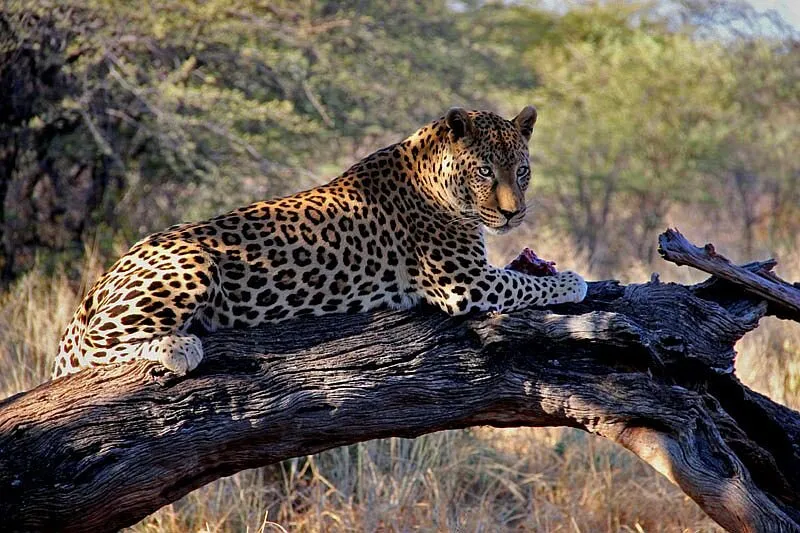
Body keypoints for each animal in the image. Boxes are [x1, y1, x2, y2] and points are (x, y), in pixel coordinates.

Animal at [52, 106, 587, 379]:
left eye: (522, 171)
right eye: (485, 171)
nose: (514, 213)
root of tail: (99, 281)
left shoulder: (474, 274)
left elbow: (523, 275)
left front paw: (547, 267)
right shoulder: (464, 281)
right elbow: (524, 286)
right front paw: (572, 281)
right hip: (192, 265)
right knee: (97, 344)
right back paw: (178, 347)